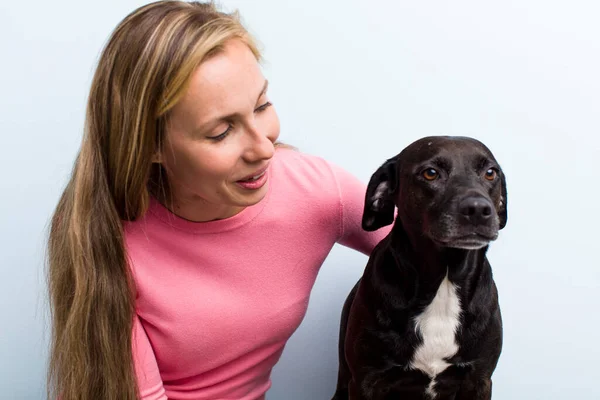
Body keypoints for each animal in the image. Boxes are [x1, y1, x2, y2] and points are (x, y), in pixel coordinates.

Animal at [332, 136, 506, 398]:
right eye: (430, 173)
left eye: (490, 173)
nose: (478, 209)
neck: (444, 282)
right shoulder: (366, 381)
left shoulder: (479, 380)